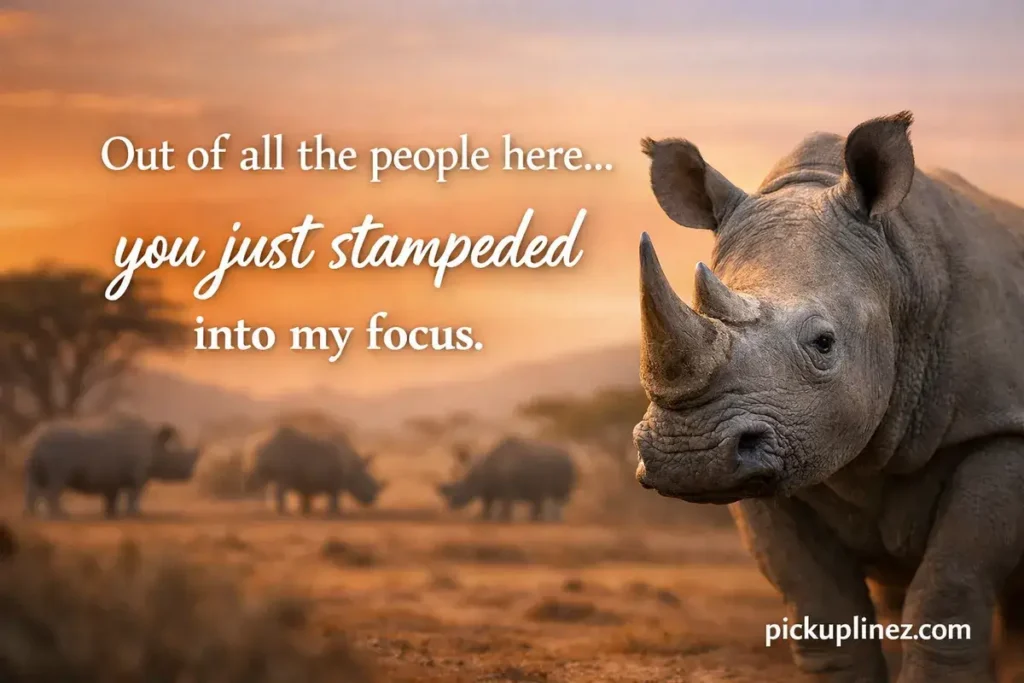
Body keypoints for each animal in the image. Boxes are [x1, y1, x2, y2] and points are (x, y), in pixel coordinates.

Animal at [23, 415, 201, 518]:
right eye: (176, 457)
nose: (190, 474)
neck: (155, 444)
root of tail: (35, 439)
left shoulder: (112, 475)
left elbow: (112, 495)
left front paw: (111, 514)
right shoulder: (138, 473)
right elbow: (135, 493)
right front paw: (135, 514)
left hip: (35, 452)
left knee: (33, 482)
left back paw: (31, 516)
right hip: (57, 452)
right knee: (56, 483)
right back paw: (61, 516)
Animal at [246, 424, 385, 515]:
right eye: (366, 482)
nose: (372, 500)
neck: (354, 468)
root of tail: (259, 443)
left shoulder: (305, 476)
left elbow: (306, 495)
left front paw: (305, 511)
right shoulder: (336, 480)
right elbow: (335, 496)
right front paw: (335, 512)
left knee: (276, 483)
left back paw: (280, 510)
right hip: (281, 456)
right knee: (281, 484)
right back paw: (283, 512)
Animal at [436, 437, 577, 522]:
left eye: (465, 486)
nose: (451, 505)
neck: (482, 472)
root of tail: (570, 458)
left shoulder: (508, 491)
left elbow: (506, 506)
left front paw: (505, 520)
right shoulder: (488, 491)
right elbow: (487, 505)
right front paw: (484, 519)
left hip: (563, 469)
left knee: (556, 498)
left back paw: (552, 521)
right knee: (539, 498)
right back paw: (535, 521)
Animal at [632, 111, 1024, 682]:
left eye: (823, 342)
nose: (690, 454)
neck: (898, 270)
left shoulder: (1001, 426)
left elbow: (950, 582)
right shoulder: (779, 445)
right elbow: (817, 599)